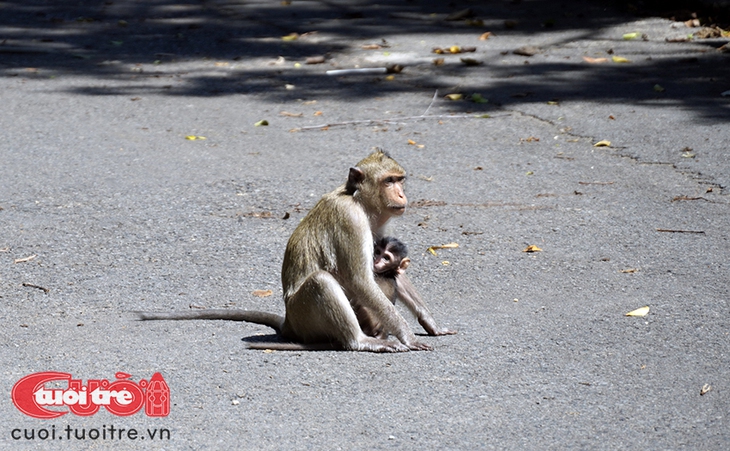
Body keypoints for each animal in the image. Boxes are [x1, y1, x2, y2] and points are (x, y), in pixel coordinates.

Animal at [138, 150, 435, 352]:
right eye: (388, 181)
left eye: (399, 180)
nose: (401, 194)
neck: (357, 200)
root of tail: (290, 323)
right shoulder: (350, 219)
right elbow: (361, 280)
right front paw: (408, 336)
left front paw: (431, 323)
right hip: (306, 317)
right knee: (322, 281)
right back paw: (360, 341)